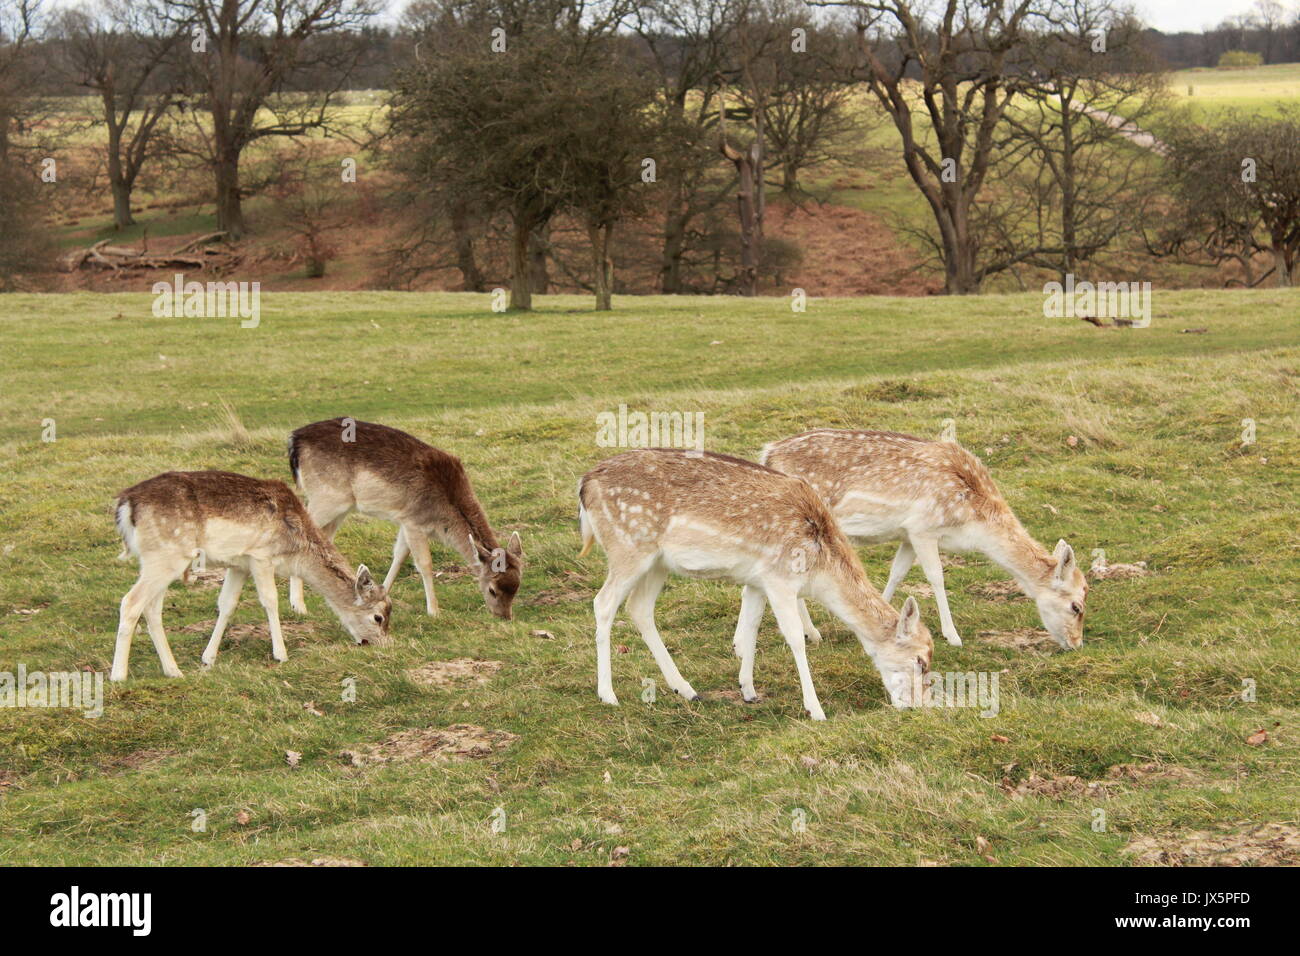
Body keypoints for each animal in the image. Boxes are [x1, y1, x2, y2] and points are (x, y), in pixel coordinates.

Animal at [111, 468, 390, 681]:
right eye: (378, 617)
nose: (383, 645)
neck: (295, 551)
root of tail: (126, 504)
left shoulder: (239, 565)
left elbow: (227, 605)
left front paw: (208, 658)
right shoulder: (261, 556)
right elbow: (270, 601)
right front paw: (281, 654)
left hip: (159, 561)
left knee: (152, 608)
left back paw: (173, 670)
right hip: (166, 556)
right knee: (131, 602)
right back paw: (118, 675)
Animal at [286, 418, 522, 621]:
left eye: (517, 585)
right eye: (492, 589)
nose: (504, 616)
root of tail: (295, 439)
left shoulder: (404, 520)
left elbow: (399, 556)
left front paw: (381, 595)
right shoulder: (414, 522)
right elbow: (424, 563)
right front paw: (434, 611)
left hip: (339, 508)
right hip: (326, 497)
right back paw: (298, 606)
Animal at [579, 447, 935, 717]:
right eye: (920, 661)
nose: (917, 707)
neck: (818, 568)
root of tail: (585, 483)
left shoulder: (755, 581)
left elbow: (750, 629)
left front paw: (748, 690)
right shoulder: (780, 579)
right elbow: (795, 638)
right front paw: (815, 709)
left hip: (657, 563)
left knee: (639, 608)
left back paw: (686, 689)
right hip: (628, 547)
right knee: (603, 603)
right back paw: (608, 694)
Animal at [759, 431, 1092, 650]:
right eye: (1076, 606)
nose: (1076, 644)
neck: (973, 521)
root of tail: (767, 452)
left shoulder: (907, 534)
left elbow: (897, 573)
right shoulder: (923, 527)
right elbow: (936, 577)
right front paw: (952, 635)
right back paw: (812, 633)